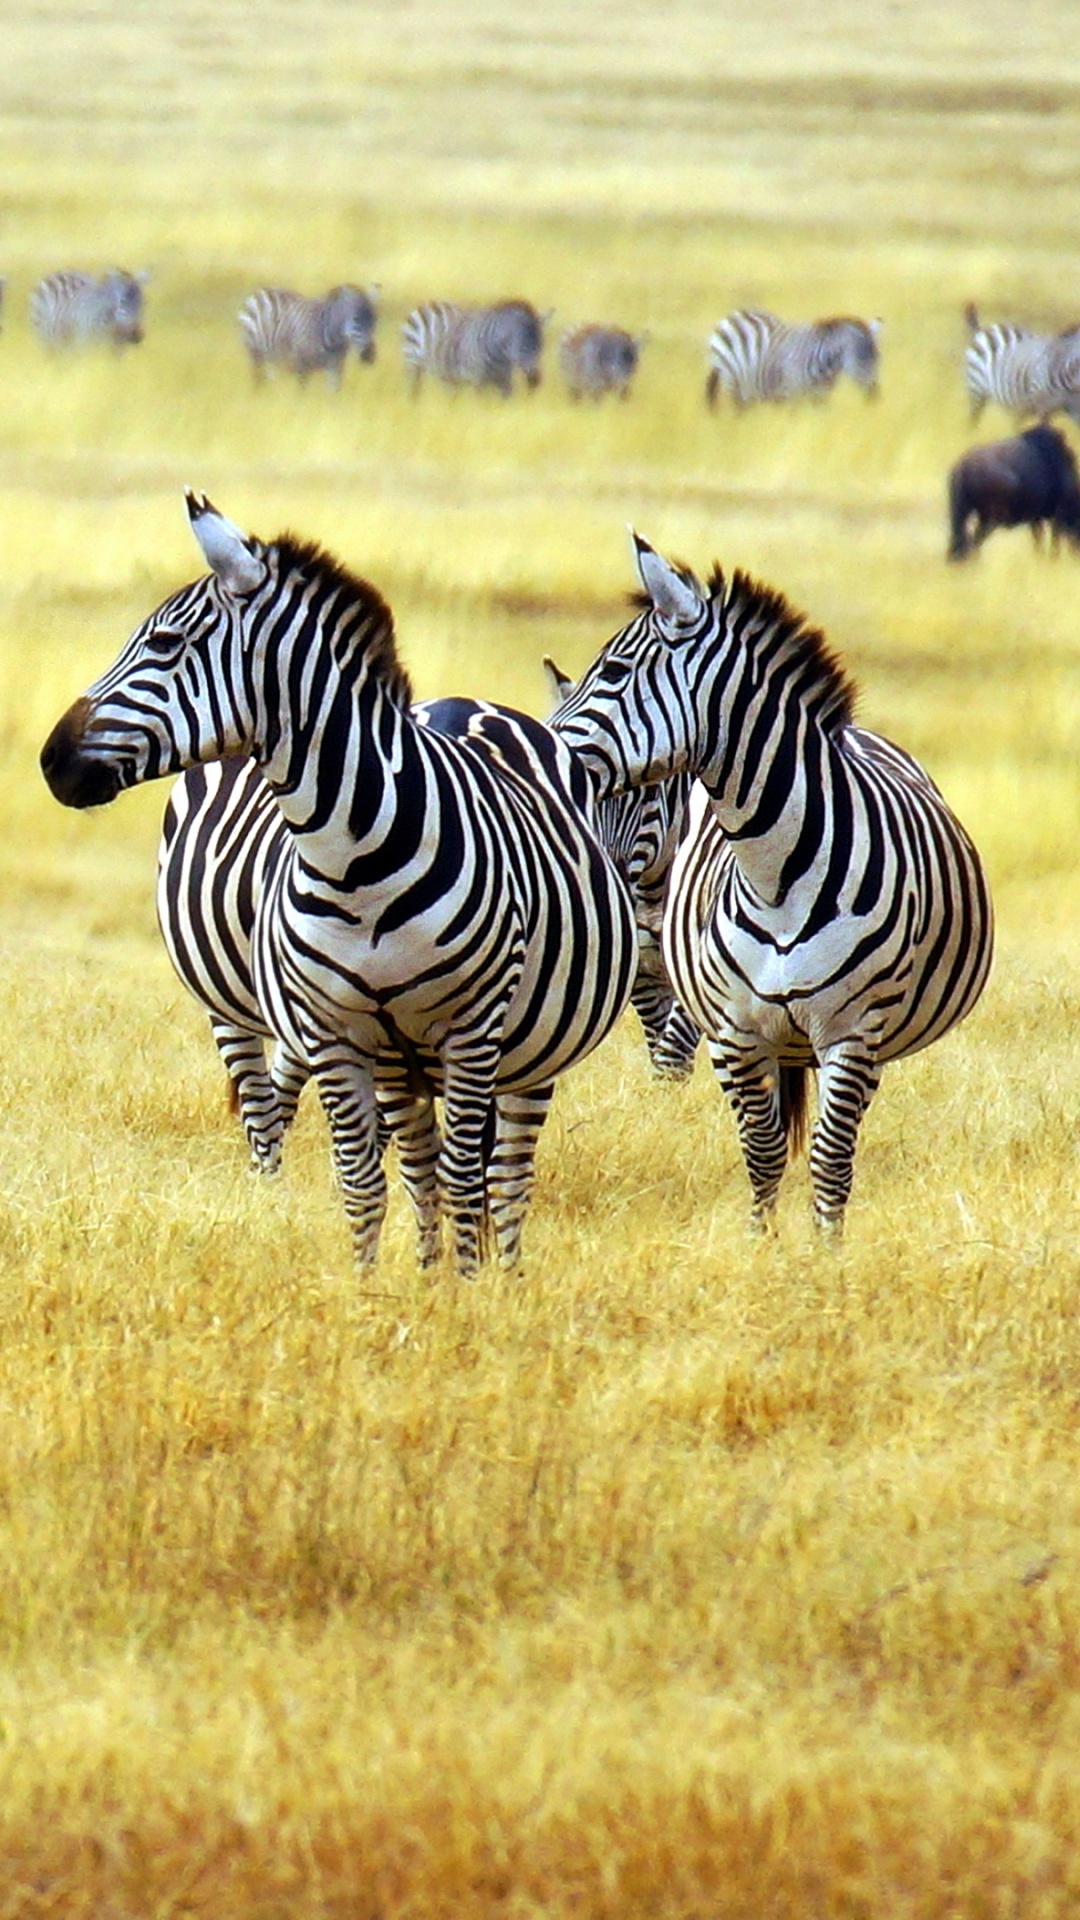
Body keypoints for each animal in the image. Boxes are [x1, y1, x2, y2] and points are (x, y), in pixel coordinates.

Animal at [40, 494, 637, 1277]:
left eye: (165, 644)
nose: (51, 760)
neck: (355, 863)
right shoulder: (338, 1031)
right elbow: (364, 1179)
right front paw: (371, 1286)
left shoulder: (472, 1028)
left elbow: (464, 1178)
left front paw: (466, 1293)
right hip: (336, 1039)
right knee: (392, 1152)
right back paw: (426, 1268)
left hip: (525, 1050)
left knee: (503, 1175)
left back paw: (500, 1275)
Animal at [238, 284, 378, 386]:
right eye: (356, 320)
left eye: (375, 321)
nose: (369, 356)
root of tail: (261, 290)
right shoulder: (301, 364)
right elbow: (301, 391)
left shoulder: (335, 367)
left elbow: (334, 392)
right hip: (254, 350)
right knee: (257, 375)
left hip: (272, 355)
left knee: (271, 373)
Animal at [401, 299, 548, 395]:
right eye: (522, 348)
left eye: (541, 348)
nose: (535, 380)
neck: (500, 356)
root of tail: (430, 304)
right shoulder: (477, 379)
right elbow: (482, 406)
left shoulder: (504, 378)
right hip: (412, 363)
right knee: (413, 390)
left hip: (445, 372)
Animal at [705, 308, 881, 408]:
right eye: (860, 359)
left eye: (878, 359)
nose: (874, 395)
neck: (826, 370)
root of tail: (734, 315)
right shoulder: (792, 393)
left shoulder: (821, 395)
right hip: (731, 380)